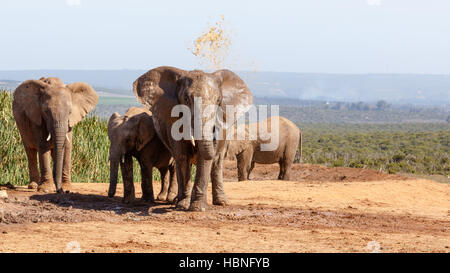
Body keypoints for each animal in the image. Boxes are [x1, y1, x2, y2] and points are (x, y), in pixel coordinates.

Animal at [133, 66, 253, 210]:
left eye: (218, 101)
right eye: (186, 99)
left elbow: (204, 157)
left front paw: (197, 208)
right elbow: (182, 155)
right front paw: (183, 205)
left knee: (217, 163)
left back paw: (222, 202)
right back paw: (176, 201)